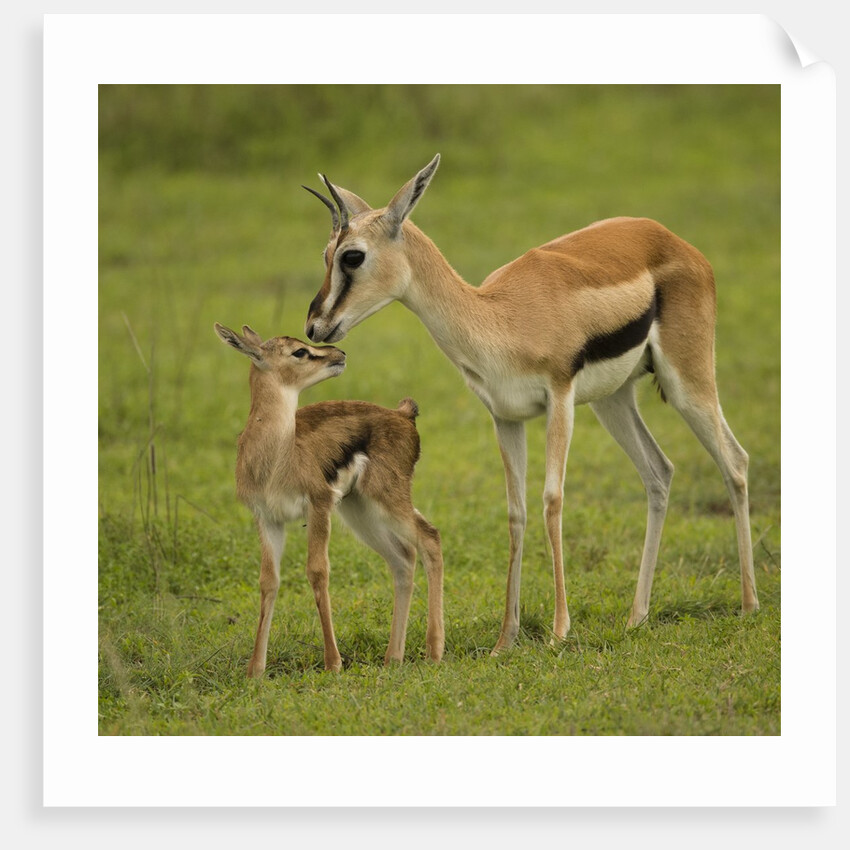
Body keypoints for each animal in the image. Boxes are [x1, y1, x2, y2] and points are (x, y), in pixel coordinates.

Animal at [214, 323, 444, 677]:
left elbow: (317, 571)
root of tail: (403, 415)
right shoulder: (268, 518)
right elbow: (268, 581)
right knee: (403, 558)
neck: (277, 458)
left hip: (387, 500)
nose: (339, 353)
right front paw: (255, 670)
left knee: (430, 538)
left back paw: (434, 651)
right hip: (360, 512)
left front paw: (333, 662)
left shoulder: (318, 504)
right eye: (299, 351)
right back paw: (393, 657)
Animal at [303, 154, 759, 654]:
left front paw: (560, 629)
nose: (315, 325)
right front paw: (507, 637)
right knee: (659, 472)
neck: (500, 317)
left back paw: (748, 604)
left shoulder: (559, 399)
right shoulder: (505, 417)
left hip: (685, 381)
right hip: (613, 401)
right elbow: (516, 512)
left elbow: (551, 500)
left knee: (734, 461)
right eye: (325, 254)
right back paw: (637, 617)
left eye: (352, 255)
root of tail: (671, 238)